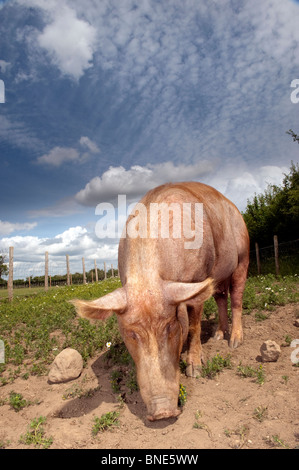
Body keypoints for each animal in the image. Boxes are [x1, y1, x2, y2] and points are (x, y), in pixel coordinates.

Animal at [72, 182, 251, 420]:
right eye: (131, 333)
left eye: (170, 326)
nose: (162, 412)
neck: (149, 275)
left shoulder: (199, 278)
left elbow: (194, 325)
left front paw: (195, 370)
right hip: (220, 274)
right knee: (221, 297)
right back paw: (218, 336)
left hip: (243, 254)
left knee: (237, 297)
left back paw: (234, 342)